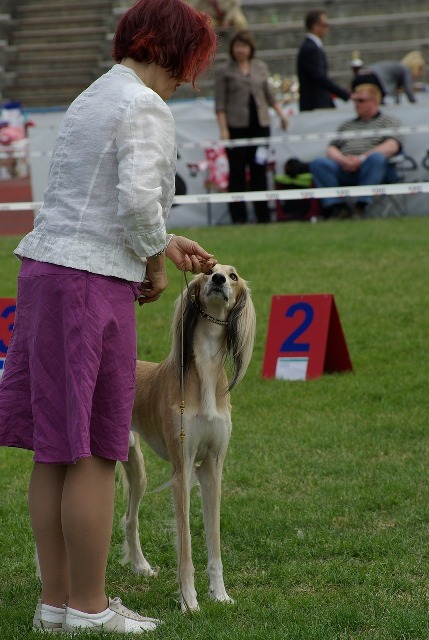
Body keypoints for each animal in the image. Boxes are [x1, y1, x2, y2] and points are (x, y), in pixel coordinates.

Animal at [119, 262, 254, 612]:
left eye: (233, 276)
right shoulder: (182, 469)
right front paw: (189, 602)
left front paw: (219, 594)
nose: (218, 279)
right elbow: (186, 546)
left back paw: (140, 566)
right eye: (208, 271)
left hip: (137, 467)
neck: (205, 372)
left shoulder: (212, 468)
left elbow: (214, 543)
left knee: (130, 518)